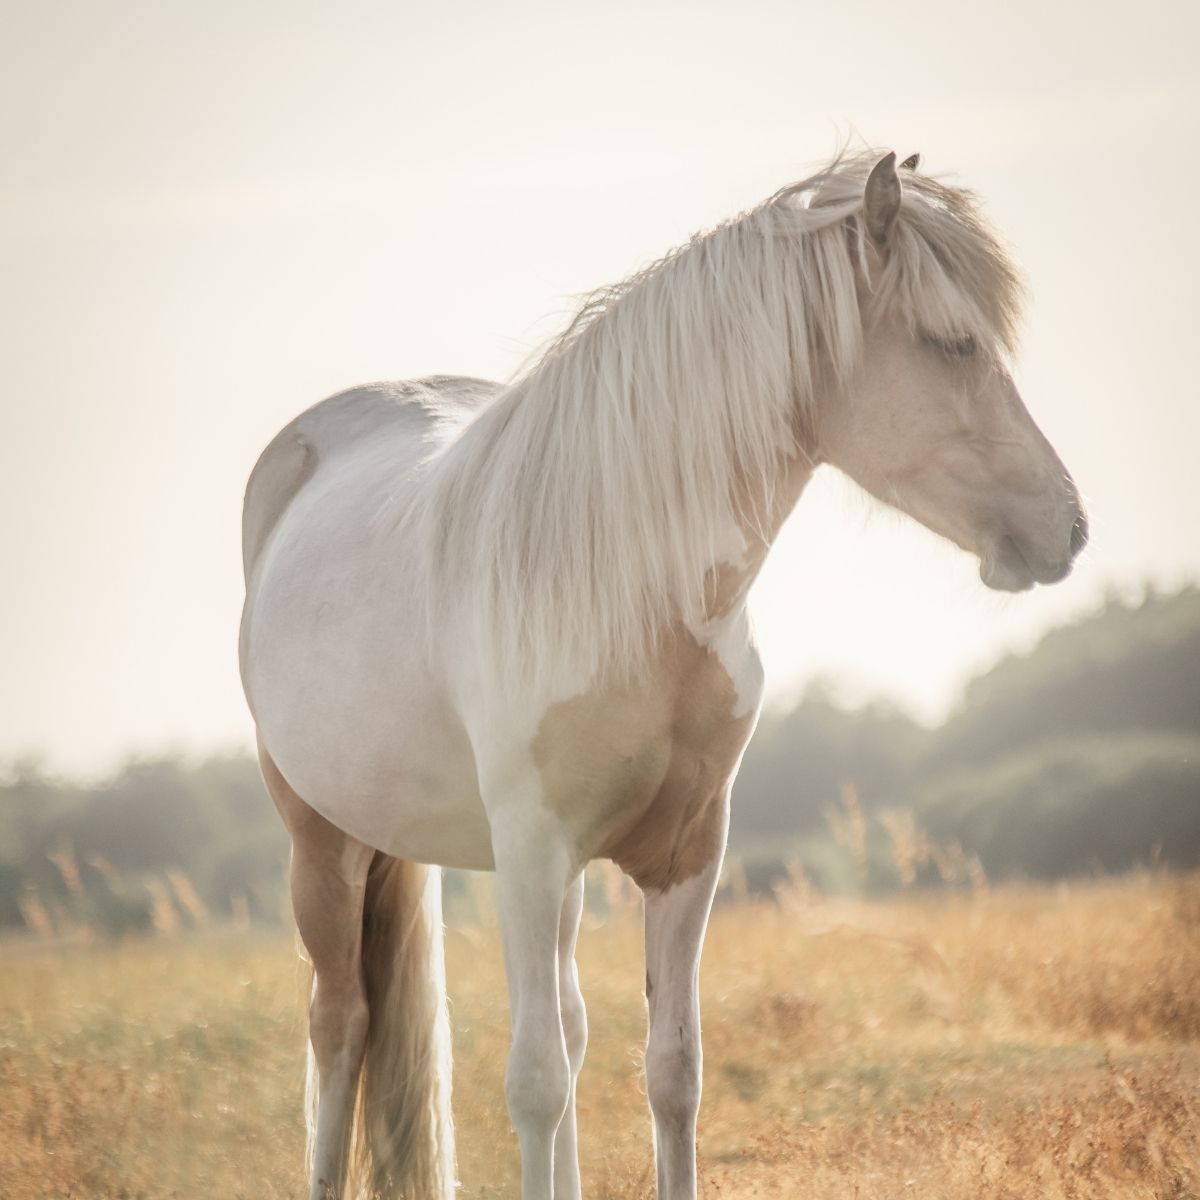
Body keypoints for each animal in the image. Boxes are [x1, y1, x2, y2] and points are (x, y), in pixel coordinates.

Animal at [239, 149, 1087, 1200]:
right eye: (956, 344)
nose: (1069, 527)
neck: (634, 590)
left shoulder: (687, 852)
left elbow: (669, 1070)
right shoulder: (528, 853)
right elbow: (532, 1080)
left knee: (560, 1023)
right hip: (325, 846)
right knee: (342, 1028)